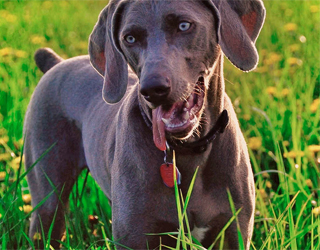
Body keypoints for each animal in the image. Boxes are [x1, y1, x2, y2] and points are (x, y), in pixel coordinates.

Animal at [24, 0, 264, 248]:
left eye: (184, 25)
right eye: (130, 38)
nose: (153, 89)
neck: (188, 150)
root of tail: (57, 64)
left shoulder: (232, 231)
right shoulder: (136, 236)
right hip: (47, 199)